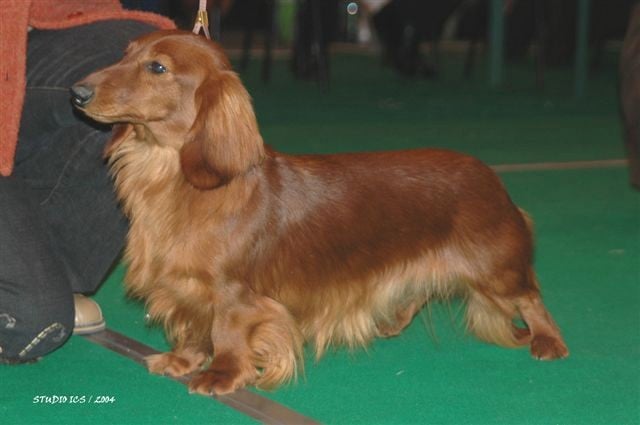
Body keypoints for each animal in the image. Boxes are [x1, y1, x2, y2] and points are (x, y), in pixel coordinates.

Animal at [72, 29, 568, 394]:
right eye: (126, 53)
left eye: (158, 67)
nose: (77, 92)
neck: (171, 177)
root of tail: (489, 175)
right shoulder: (185, 285)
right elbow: (194, 328)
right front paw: (183, 360)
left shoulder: (235, 294)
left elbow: (227, 334)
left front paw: (222, 375)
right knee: (423, 288)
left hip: (495, 267)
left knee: (531, 295)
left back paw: (549, 342)